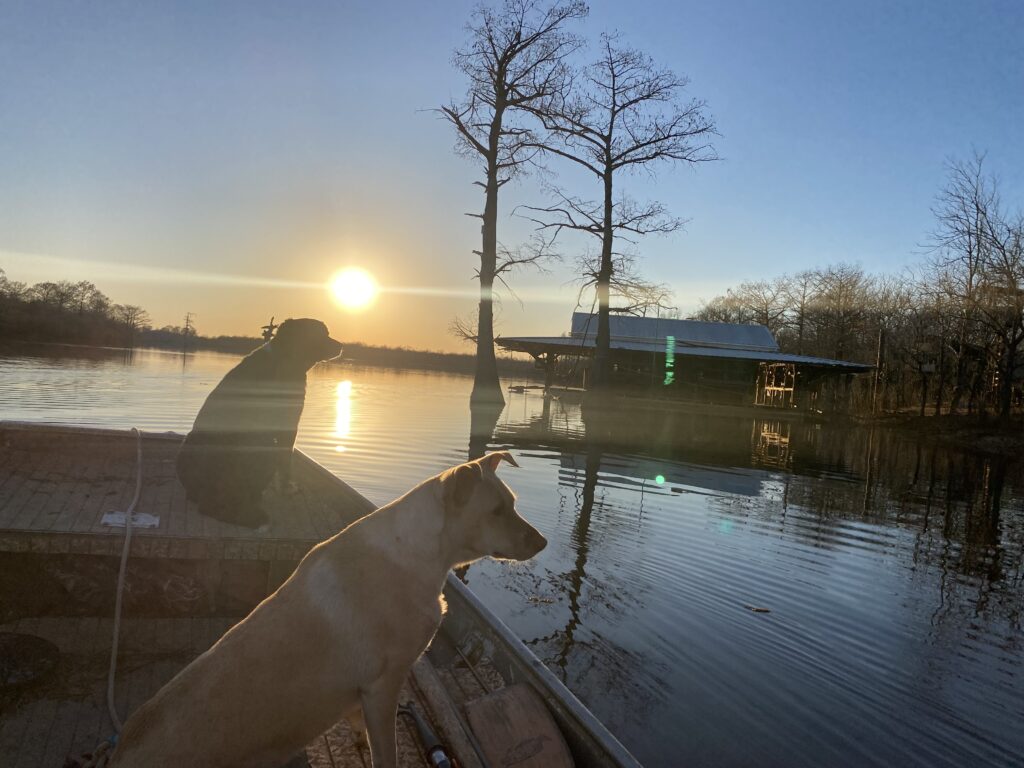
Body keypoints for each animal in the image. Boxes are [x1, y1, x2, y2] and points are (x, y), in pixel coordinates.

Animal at [108, 450, 548, 768]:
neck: (420, 553)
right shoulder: (383, 685)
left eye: (513, 504)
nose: (543, 542)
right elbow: (385, 754)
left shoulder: (361, 695)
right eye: (496, 511)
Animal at [180, 319, 344, 528]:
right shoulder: (289, 426)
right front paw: (287, 488)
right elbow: (287, 464)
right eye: (321, 333)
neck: (285, 359)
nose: (341, 346)